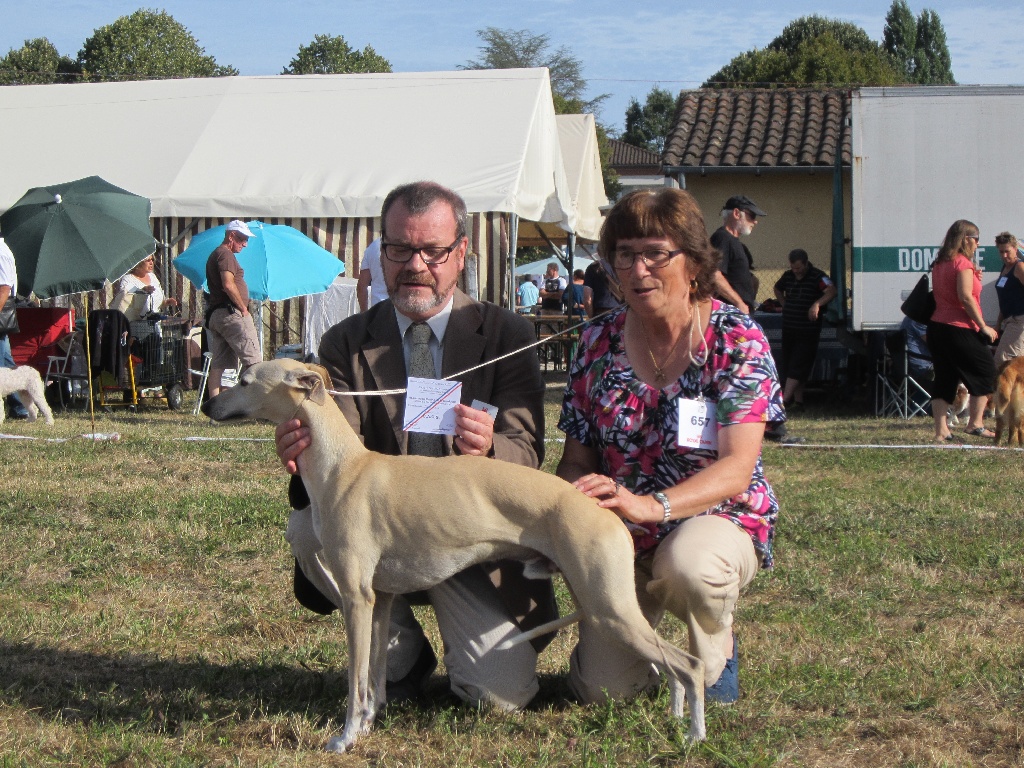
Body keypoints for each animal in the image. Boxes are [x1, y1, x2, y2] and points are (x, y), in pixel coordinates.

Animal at [203, 362, 708, 757]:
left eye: (244, 380)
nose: (209, 408)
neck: (344, 468)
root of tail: (607, 513)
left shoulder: (356, 598)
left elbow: (355, 678)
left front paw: (344, 738)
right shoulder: (380, 599)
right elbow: (374, 676)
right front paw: (366, 726)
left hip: (610, 607)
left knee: (690, 664)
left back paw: (694, 737)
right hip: (611, 607)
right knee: (673, 668)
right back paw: (676, 720)